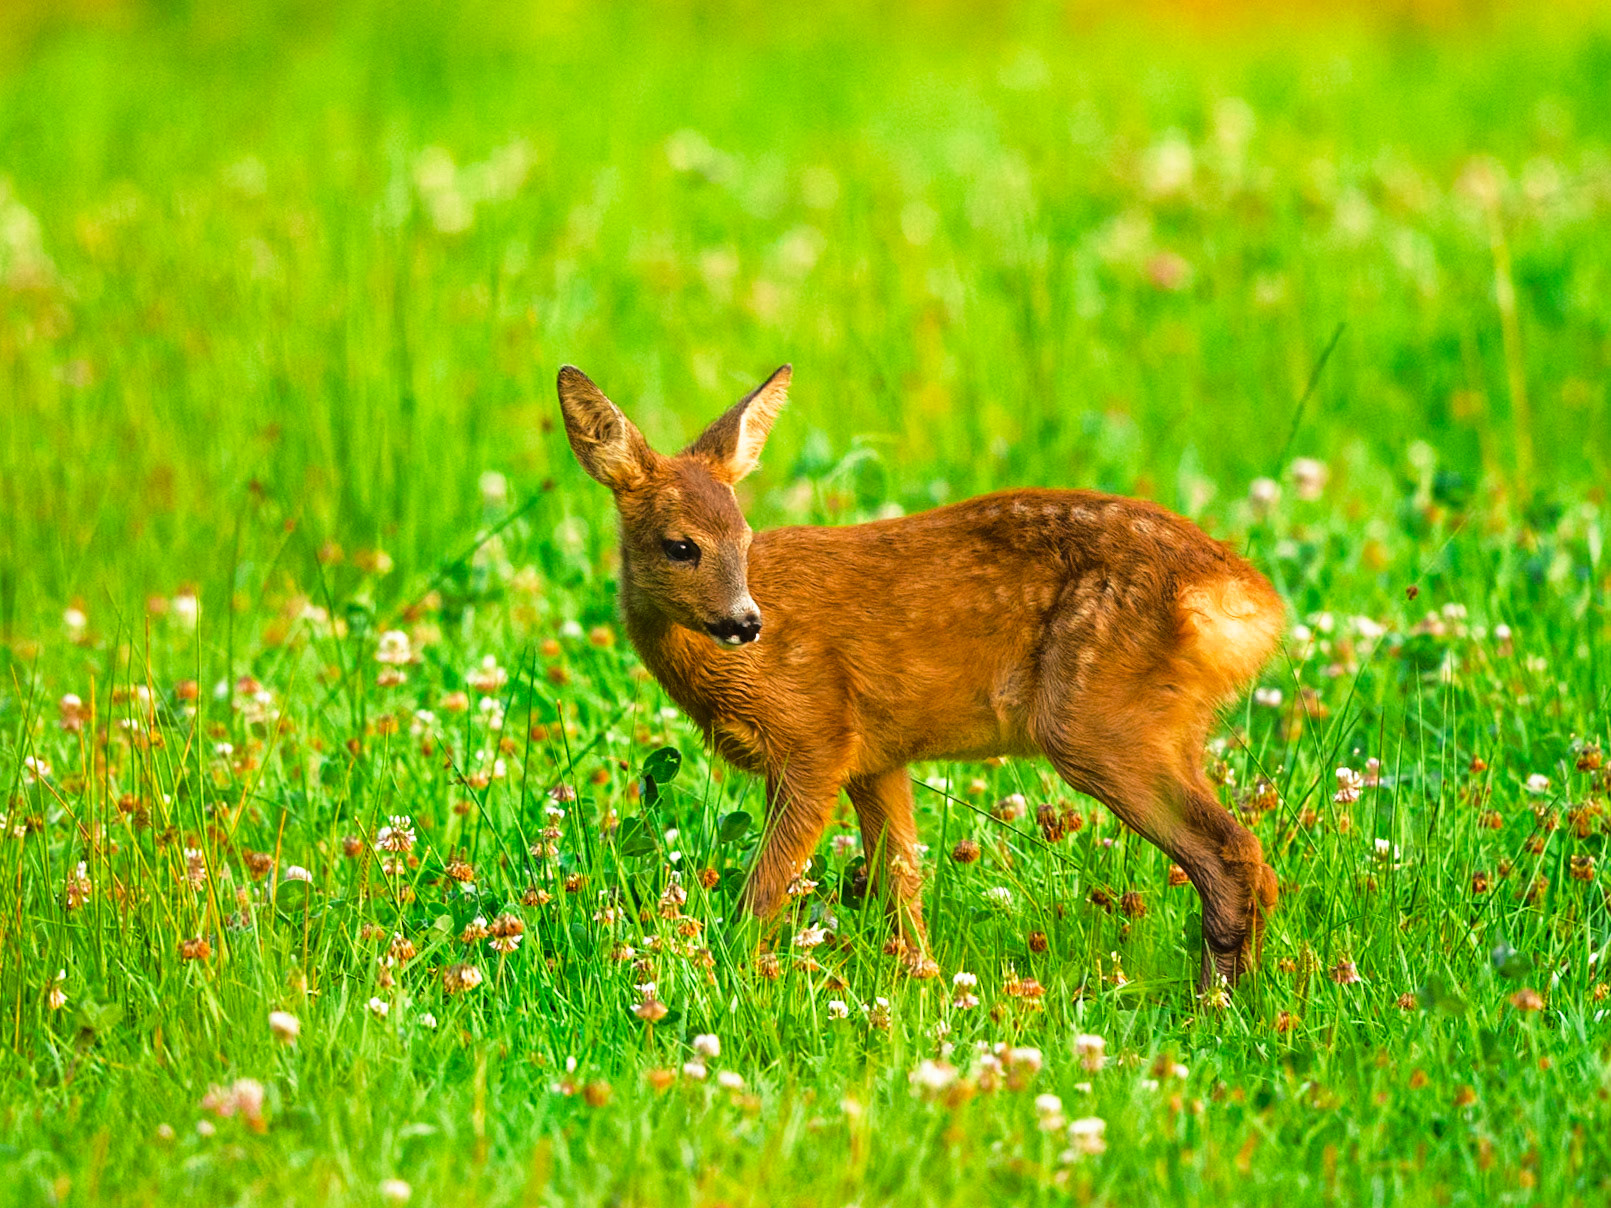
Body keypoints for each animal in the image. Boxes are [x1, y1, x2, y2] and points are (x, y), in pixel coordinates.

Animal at [556, 362, 1284, 988]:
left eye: (742, 538)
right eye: (681, 546)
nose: (744, 621)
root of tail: (1249, 601)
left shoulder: (815, 736)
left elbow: (764, 893)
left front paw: (727, 973)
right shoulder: (875, 758)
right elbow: (901, 886)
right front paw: (923, 983)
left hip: (1094, 720)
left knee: (1232, 855)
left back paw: (1212, 1004)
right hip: (1165, 725)